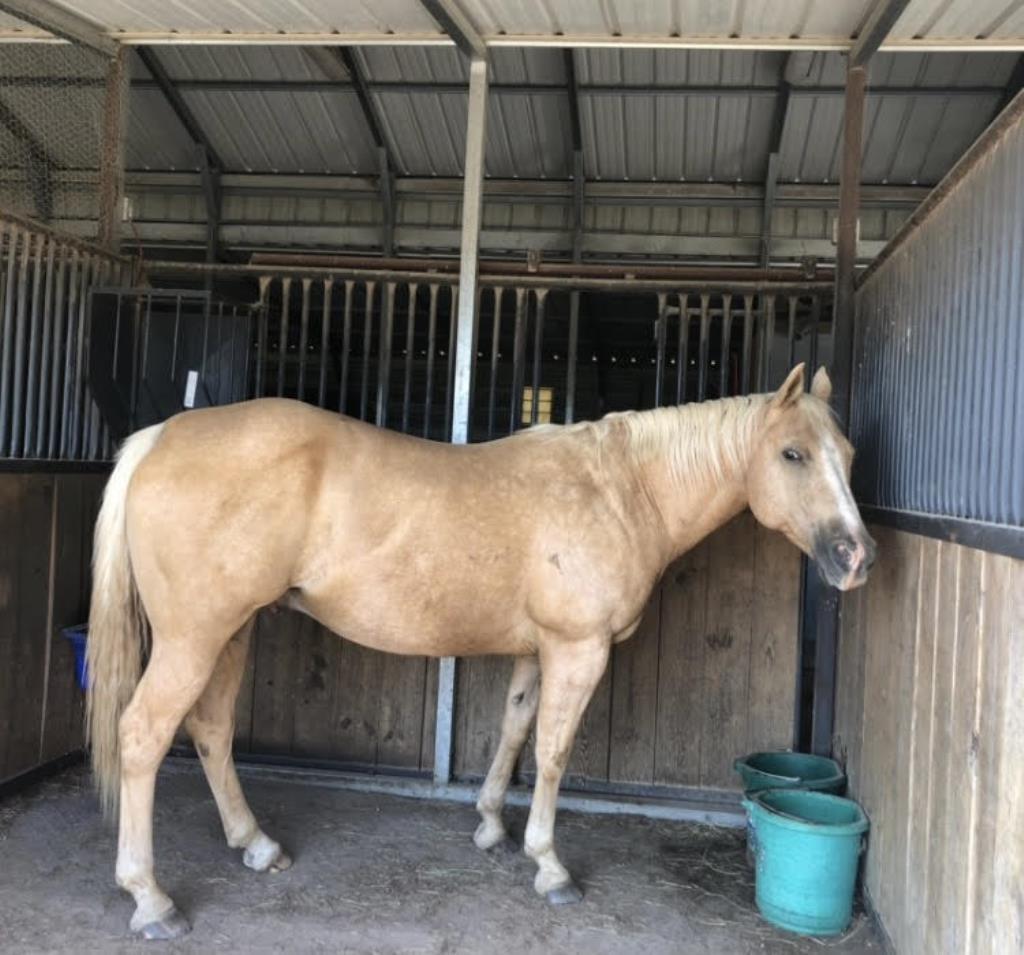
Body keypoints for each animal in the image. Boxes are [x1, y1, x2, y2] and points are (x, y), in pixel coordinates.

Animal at [85, 362, 875, 938]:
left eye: (848, 454)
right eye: (792, 453)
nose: (857, 556)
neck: (622, 489)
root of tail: (159, 437)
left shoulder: (538, 648)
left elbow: (516, 727)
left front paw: (492, 824)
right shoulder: (578, 649)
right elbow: (553, 752)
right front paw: (549, 866)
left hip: (233, 629)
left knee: (211, 730)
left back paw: (256, 844)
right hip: (194, 637)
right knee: (143, 735)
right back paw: (150, 898)